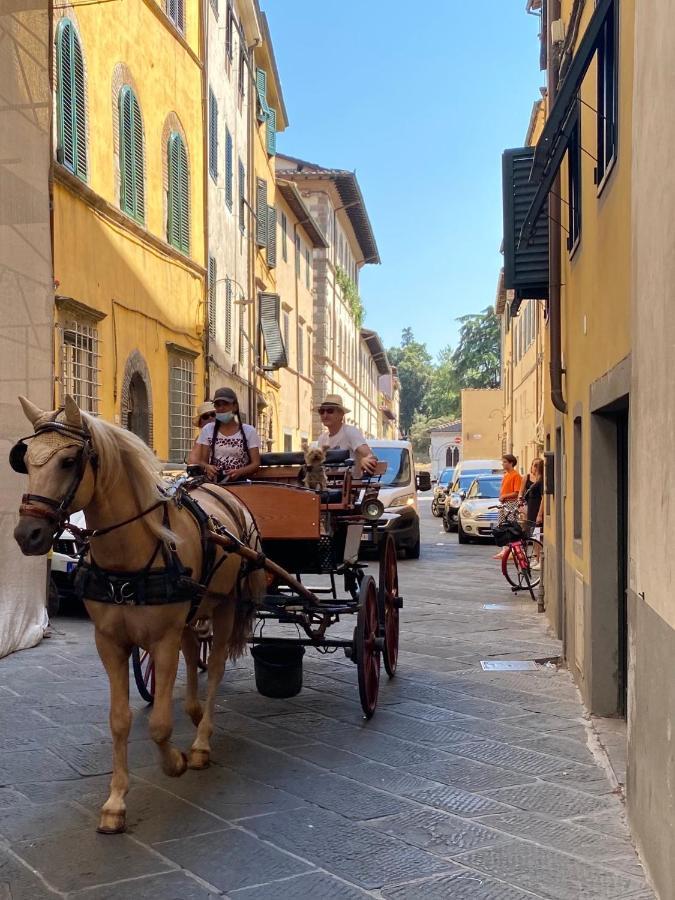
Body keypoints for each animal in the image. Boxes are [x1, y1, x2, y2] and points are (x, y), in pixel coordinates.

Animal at [11, 398, 264, 832]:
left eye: (68, 461)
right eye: (25, 460)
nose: (27, 535)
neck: (132, 549)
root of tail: (222, 489)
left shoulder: (161, 640)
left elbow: (159, 724)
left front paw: (175, 762)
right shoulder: (109, 641)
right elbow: (120, 719)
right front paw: (115, 802)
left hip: (226, 603)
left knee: (213, 667)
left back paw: (201, 743)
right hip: (194, 607)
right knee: (192, 650)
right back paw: (194, 712)